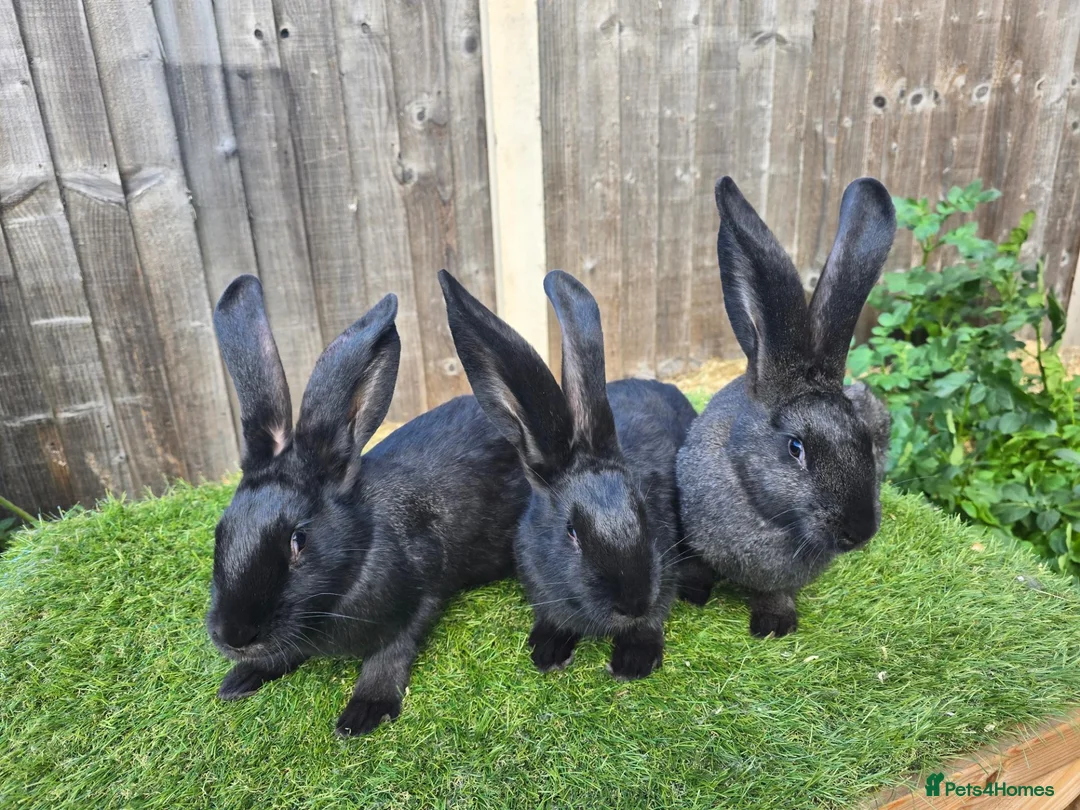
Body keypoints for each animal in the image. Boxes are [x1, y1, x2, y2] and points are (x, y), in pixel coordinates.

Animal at [206, 275, 529, 736]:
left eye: (298, 540)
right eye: (221, 531)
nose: (234, 636)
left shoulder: (420, 599)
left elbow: (388, 654)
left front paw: (363, 714)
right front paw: (241, 679)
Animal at [439, 268, 697, 680]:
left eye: (644, 514)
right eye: (571, 532)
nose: (633, 603)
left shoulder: (665, 571)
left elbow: (652, 621)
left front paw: (632, 662)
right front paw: (548, 652)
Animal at [676, 176, 895, 637]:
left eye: (865, 440)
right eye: (796, 448)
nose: (860, 532)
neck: (770, 516)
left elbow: (777, 592)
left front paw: (775, 624)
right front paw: (692, 594)